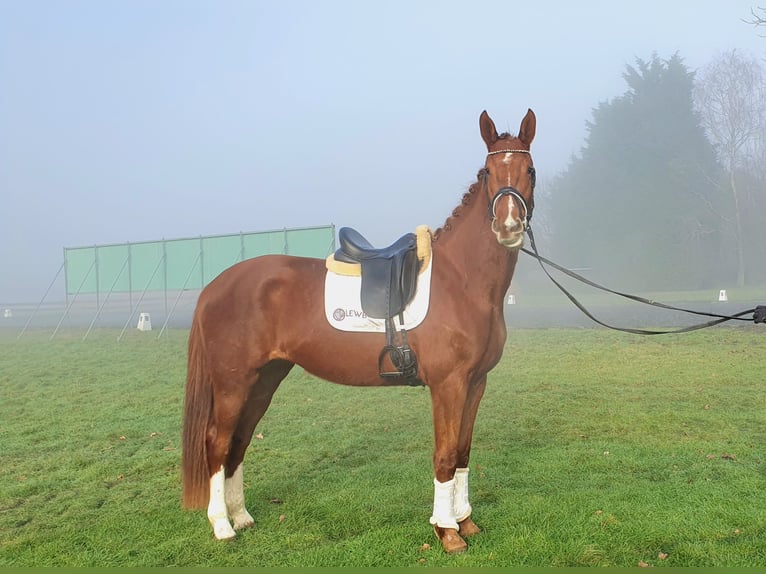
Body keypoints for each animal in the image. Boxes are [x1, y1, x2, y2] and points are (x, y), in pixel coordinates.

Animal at [181, 108, 540, 552]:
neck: (463, 280)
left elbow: (462, 454)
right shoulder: (449, 385)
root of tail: (215, 286)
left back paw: (242, 517)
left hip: (263, 380)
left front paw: (466, 522)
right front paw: (446, 532)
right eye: (487, 172)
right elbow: (443, 455)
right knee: (217, 441)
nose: (508, 226)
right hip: (234, 383)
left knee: (239, 442)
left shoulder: (476, 383)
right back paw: (222, 526)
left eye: (530, 170)